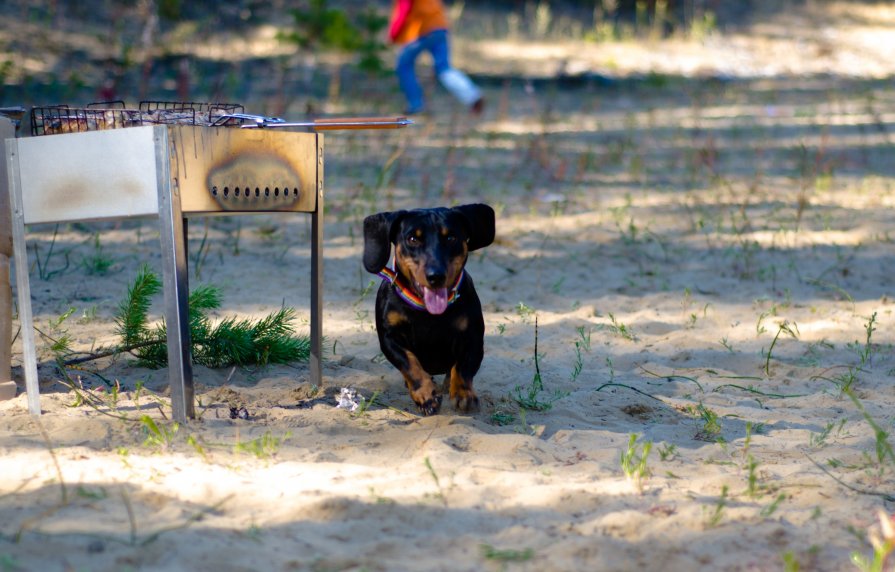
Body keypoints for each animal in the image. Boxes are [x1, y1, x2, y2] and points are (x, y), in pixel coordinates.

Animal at [360, 203, 494, 414]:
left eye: (451, 237)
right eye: (412, 239)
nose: (436, 276)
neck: (426, 312)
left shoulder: (472, 338)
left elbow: (462, 367)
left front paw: (463, 393)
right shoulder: (389, 338)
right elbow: (410, 364)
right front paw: (426, 395)